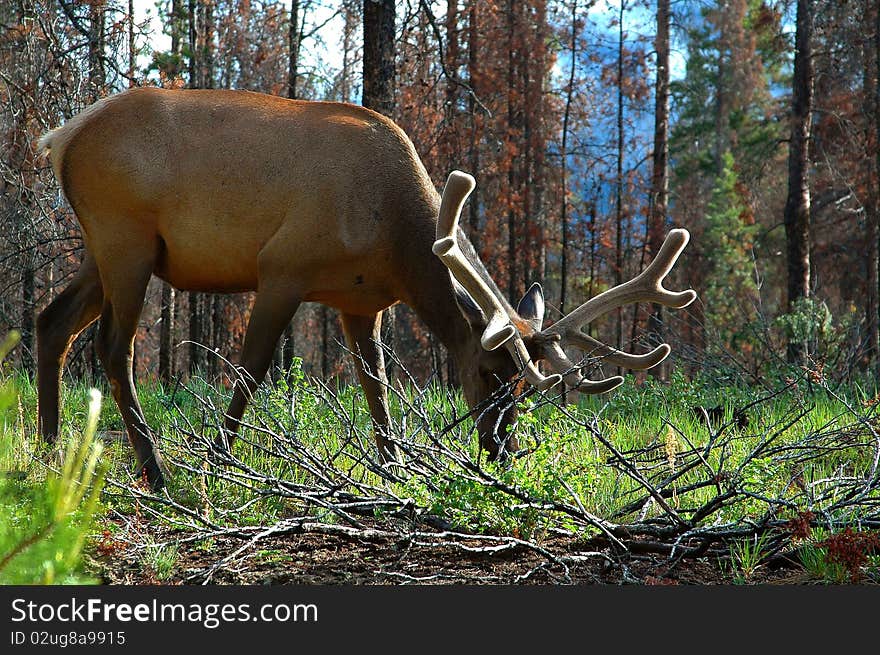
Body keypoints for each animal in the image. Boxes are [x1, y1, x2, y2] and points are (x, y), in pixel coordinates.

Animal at [36, 87, 696, 490]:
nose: (501, 450)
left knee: (52, 320)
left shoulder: (361, 302)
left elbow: (376, 387)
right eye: (487, 372)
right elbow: (251, 369)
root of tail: (61, 137)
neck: (394, 238)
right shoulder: (282, 267)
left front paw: (396, 469)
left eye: (523, 390)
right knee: (112, 347)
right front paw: (218, 460)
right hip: (126, 239)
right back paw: (155, 472)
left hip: (105, 250)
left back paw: (47, 450)